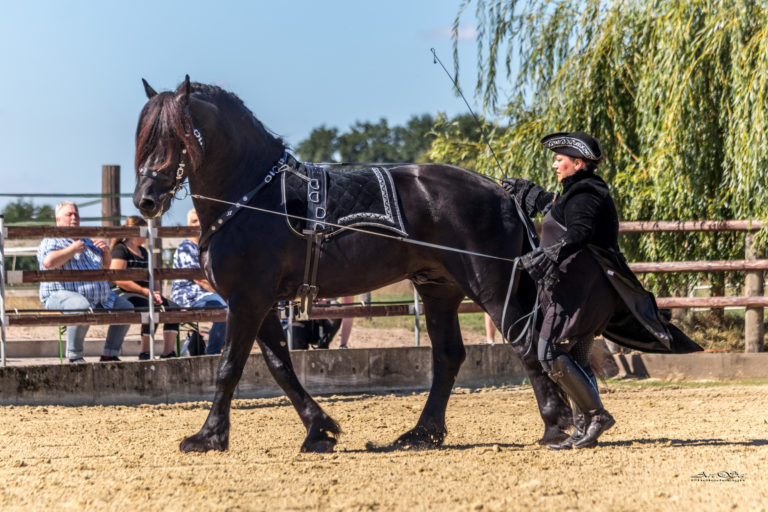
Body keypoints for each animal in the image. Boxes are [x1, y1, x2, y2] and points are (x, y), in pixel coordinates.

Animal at [132, 76, 568, 452]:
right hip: (438, 288)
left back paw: (556, 424)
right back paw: (422, 433)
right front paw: (319, 430)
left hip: (490, 285)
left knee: (521, 341)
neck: (254, 198)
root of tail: (500, 190)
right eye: (144, 135)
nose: (145, 199)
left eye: (176, 135)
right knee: (448, 356)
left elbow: (229, 367)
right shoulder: (261, 303)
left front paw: (207, 437)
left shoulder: (246, 299)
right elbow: (279, 366)